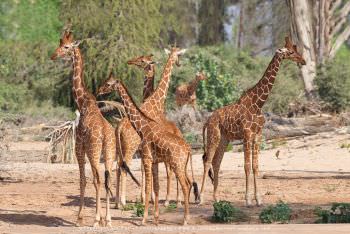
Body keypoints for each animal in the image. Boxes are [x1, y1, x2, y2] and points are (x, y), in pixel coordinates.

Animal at [50, 30, 138, 228]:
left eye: (66, 47)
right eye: (59, 44)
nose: (53, 56)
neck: (83, 102)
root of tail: (106, 135)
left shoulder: (79, 147)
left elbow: (82, 180)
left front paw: (80, 218)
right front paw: (102, 218)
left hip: (94, 151)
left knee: (97, 179)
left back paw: (97, 219)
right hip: (109, 152)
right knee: (108, 178)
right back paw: (109, 219)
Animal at [98, 76, 198, 225]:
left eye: (108, 84)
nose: (99, 91)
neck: (142, 128)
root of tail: (189, 150)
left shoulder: (146, 158)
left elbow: (147, 187)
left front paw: (143, 219)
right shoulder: (154, 161)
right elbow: (156, 187)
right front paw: (155, 218)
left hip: (177, 165)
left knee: (185, 185)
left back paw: (185, 219)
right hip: (182, 165)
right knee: (189, 183)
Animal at [200, 37, 306, 207]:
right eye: (290, 52)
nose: (303, 61)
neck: (258, 104)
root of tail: (207, 121)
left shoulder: (258, 135)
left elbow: (255, 166)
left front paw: (259, 199)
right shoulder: (247, 134)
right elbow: (247, 167)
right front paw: (248, 199)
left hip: (224, 139)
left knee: (216, 163)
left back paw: (216, 198)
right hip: (213, 136)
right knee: (207, 161)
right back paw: (201, 198)